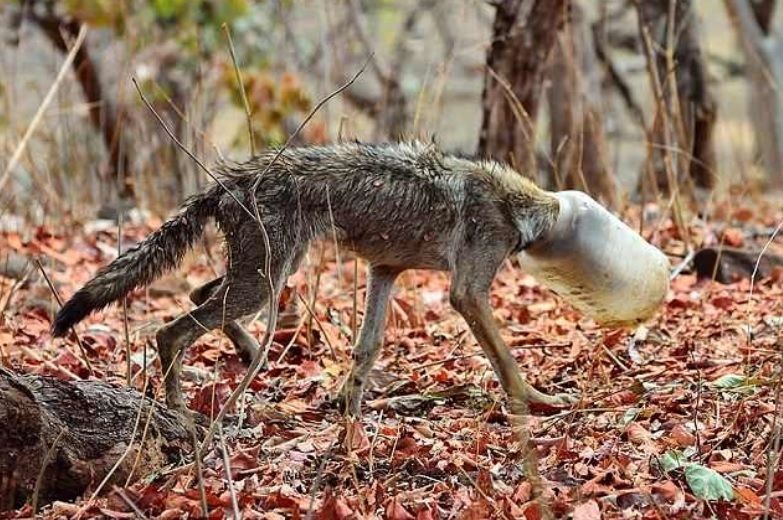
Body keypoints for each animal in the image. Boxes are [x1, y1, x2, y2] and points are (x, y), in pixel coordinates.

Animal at [50, 142, 576, 418]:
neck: (515, 205)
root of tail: (225, 183)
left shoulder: (384, 271)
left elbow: (367, 348)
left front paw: (348, 407)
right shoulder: (467, 294)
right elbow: (506, 360)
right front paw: (538, 400)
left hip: (267, 276)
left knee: (199, 296)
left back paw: (248, 353)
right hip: (263, 282)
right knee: (170, 331)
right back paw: (180, 409)